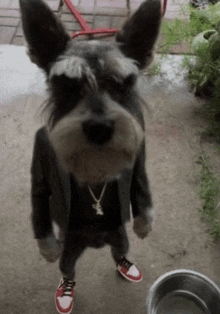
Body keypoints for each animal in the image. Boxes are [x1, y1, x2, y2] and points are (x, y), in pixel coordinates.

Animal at [18, 0, 162, 312]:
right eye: (67, 86)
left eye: (122, 83)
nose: (99, 128)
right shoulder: (40, 163)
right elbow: (39, 196)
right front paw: (46, 248)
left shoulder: (139, 158)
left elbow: (141, 182)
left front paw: (145, 224)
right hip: (71, 251)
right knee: (68, 267)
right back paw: (66, 285)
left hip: (119, 237)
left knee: (120, 250)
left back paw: (125, 264)